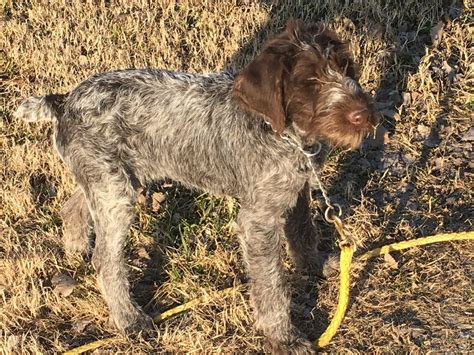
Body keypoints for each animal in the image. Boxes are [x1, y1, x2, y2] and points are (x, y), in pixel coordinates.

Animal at [14, 21, 376, 354]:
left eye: (346, 67)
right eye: (311, 81)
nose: (365, 115)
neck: (283, 133)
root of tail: (65, 101)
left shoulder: (296, 191)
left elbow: (303, 232)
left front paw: (314, 266)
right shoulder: (258, 221)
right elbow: (272, 285)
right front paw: (283, 338)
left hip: (112, 179)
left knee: (72, 206)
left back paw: (75, 248)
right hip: (115, 190)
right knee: (106, 260)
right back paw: (129, 319)